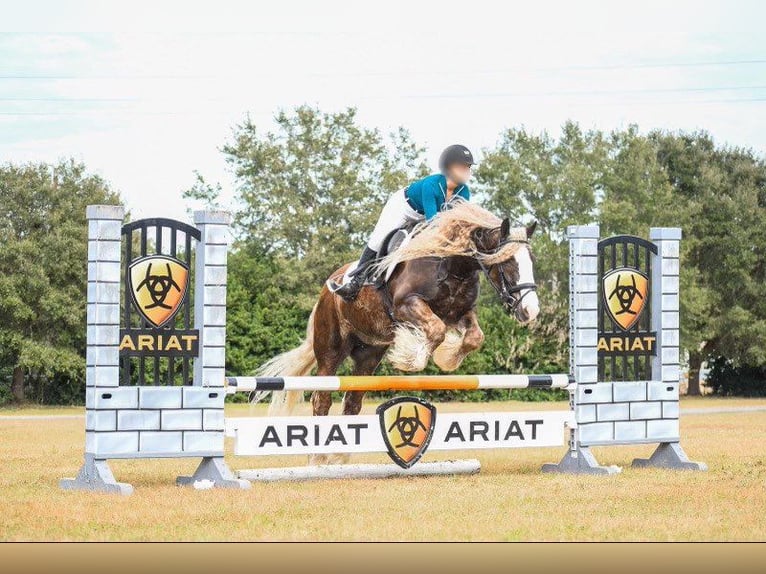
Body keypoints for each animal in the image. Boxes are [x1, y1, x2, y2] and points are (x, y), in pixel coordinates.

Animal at [260, 202, 544, 464]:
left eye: (531, 261)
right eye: (508, 263)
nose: (530, 311)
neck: (453, 265)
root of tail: (328, 288)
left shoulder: (459, 314)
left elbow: (474, 337)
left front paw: (446, 359)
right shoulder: (406, 305)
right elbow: (436, 330)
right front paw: (410, 358)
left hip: (368, 355)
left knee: (352, 401)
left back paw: (339, 457)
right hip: (330, 350)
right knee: (322, 398)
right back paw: (318, 458)